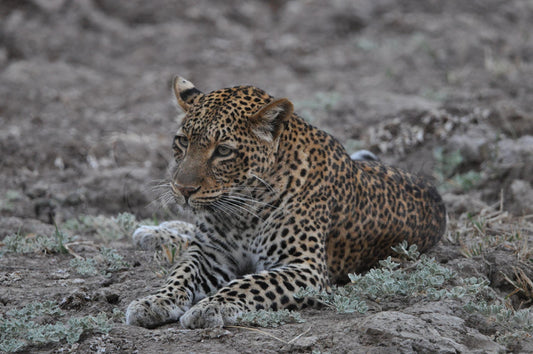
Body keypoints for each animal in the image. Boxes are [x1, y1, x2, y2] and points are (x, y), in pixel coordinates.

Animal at [124, 76, 444, 330]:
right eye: (183, 141)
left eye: (223, 151)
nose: (183, 189)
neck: (242, 211)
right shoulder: (210, 252)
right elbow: (180, 273)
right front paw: (153, 301)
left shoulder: (306, 268)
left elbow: (249, 283)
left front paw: (209, 307)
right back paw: (154, 232)